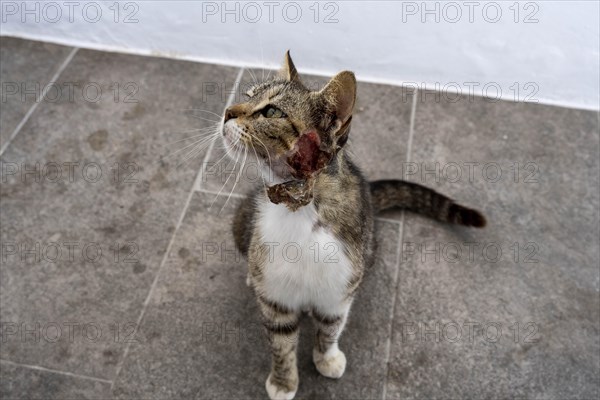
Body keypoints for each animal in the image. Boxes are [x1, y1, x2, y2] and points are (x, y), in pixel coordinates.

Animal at [223, 52, 486, 400]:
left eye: (272, 111)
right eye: (247, 95)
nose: (227, 112)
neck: (300, 206)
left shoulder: (341, 286)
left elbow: (331, 327)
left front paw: (327, 358)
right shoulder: (276, 294)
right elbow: (281, 341)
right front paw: (283, 380)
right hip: (244, 218)